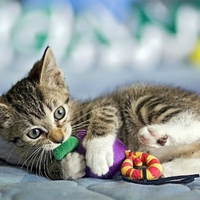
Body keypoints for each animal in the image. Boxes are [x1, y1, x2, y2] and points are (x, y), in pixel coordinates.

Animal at [1, 47, 200, 180]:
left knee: (194, 122)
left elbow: (104, 116)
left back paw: (156, 135)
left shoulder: (107, 104)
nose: (59, 139)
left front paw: (97, 152)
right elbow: (41, 166)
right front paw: (67, 167)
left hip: (141, 100)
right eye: (34, 133)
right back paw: (166, 168)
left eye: (59, 113)